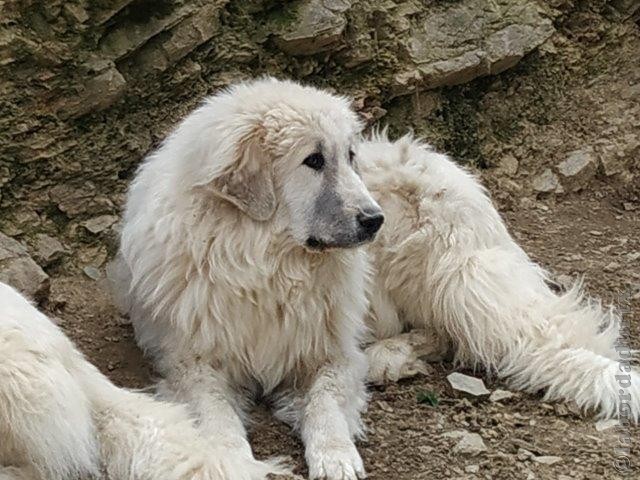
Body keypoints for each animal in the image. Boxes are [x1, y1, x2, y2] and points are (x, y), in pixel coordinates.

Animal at [117, 77, 382, 478]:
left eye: (350, 156)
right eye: (314, 160)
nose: (375, 219)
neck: (267, 268)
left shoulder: (333, 355)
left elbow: (325, 402)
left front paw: (336, 455)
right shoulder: (192, 363)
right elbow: (217, 413)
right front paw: (231, 458)